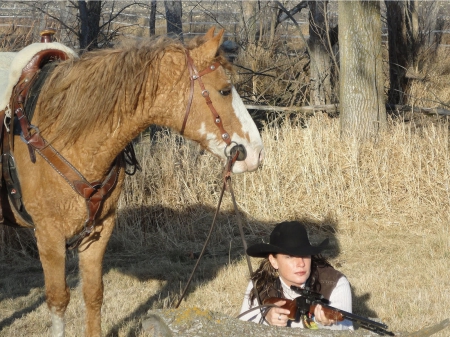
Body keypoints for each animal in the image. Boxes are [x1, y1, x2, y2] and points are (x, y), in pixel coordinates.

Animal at [2, 26, 264, 336]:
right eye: (224, 90)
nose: (255, 152)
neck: (63, 131)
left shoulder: (100, 229)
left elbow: (93, 293)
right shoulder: (48, 234)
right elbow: (58, 300)